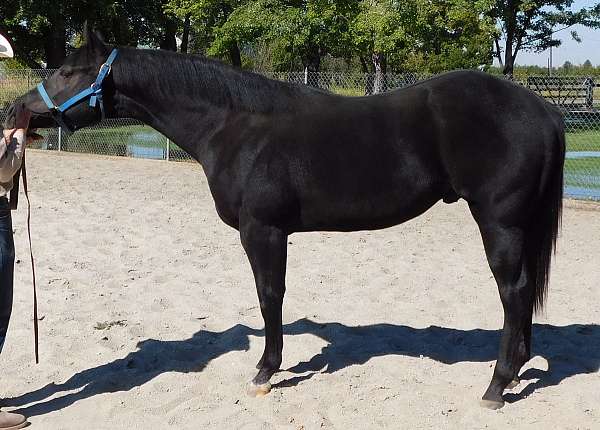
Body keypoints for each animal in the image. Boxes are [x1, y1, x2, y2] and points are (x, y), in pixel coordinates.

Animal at [4, 28, 564, 408]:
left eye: (68, 72)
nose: (16, 109)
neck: (235, 126)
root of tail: (540, 107)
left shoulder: (264, 231)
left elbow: (269, 296)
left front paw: (265, 371)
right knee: (522, 293)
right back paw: (516, 372)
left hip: (499, 223)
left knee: (513, 292)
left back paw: (496, 384)